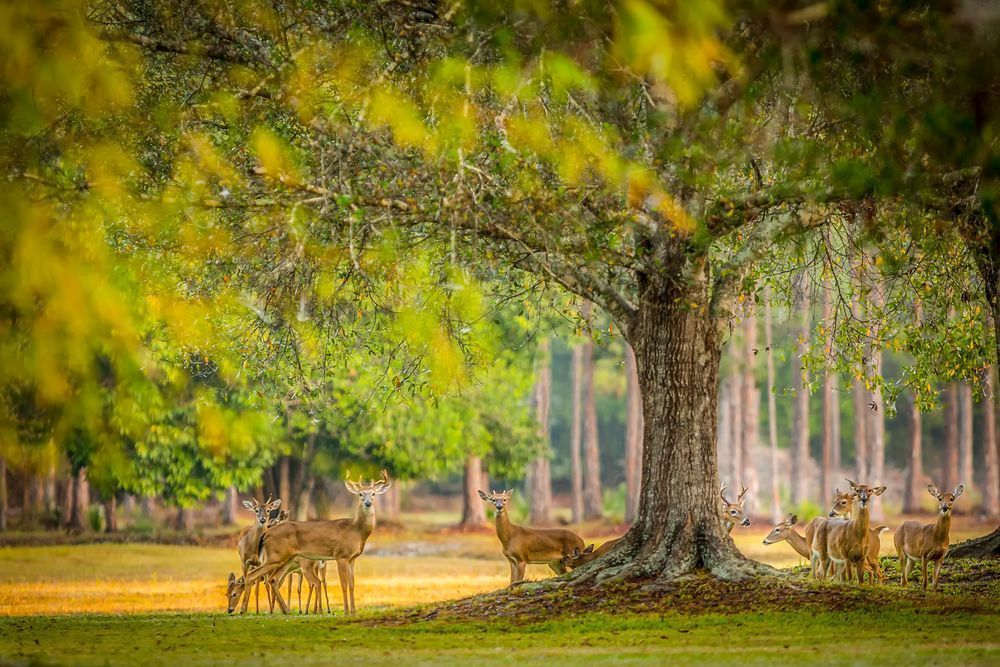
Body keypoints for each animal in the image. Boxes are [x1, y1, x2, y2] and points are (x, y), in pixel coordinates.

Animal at [227, 471, 391, 615]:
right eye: (360, 494)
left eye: (373, 494)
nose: (367, 502)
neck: (355, 530)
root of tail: (266, 533)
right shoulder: (341, 555)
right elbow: (343, 585)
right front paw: (346, 612)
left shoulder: (352, 559)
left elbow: (352, 585)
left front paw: (354, 612)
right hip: (275, 556)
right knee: (253, 575)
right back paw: (243, 610)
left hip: (286, 559)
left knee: (273, 579)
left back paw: (285, 610)